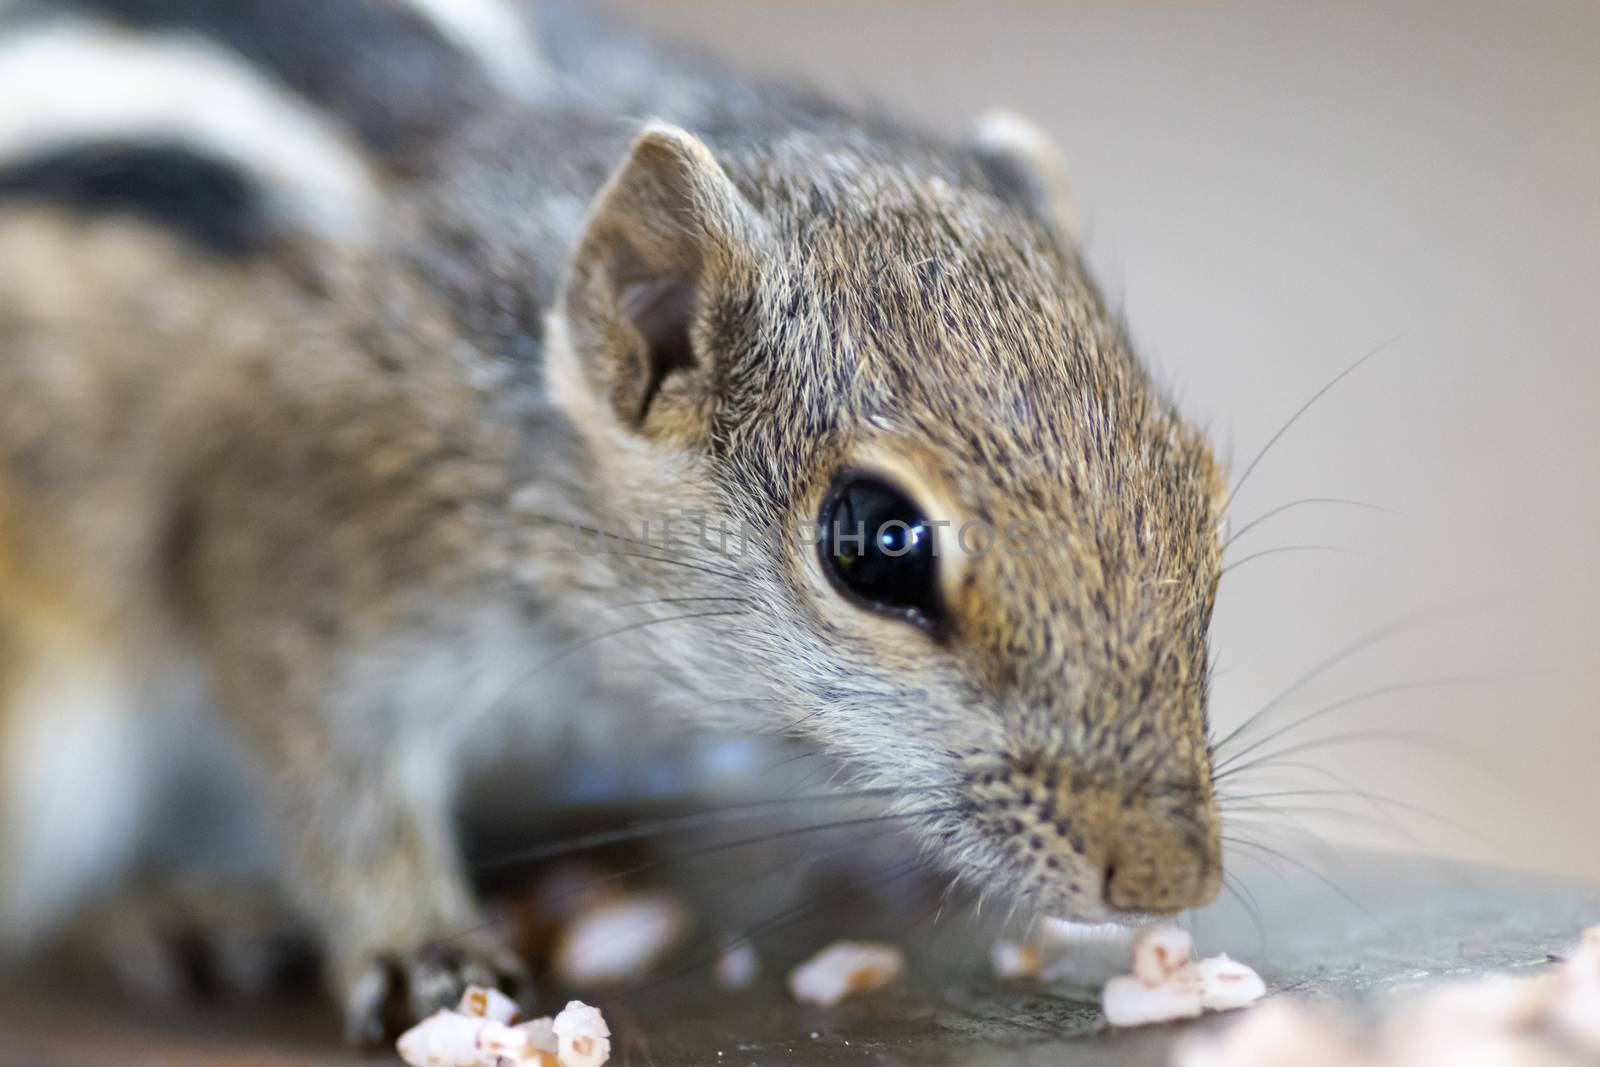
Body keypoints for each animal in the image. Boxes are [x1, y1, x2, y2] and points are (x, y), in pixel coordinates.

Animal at [0, 0, 1222, 1036]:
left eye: (1197, 485)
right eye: (875, 544)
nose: (1174, 876)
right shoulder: (303, 549)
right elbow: (334, 774)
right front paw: (420, 944)